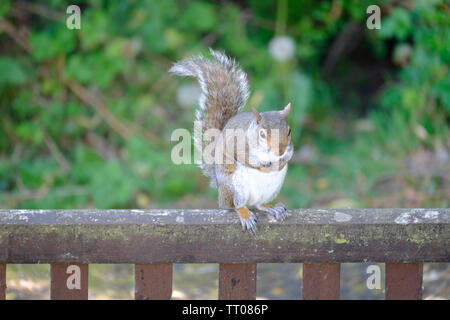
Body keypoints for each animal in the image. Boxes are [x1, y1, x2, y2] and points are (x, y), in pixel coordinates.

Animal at [171, 48, 294, 234]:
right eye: (262, 134)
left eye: (289, 131)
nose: (279, 151)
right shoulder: (238, 145)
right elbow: (245, 158)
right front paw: (262, 165)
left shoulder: (290, 147)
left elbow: (289, 155)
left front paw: (280, 162)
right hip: (234, 187)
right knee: (235, 205)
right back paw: (244, 213)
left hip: (269, 190)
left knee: (259, 204)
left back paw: (271, 207)